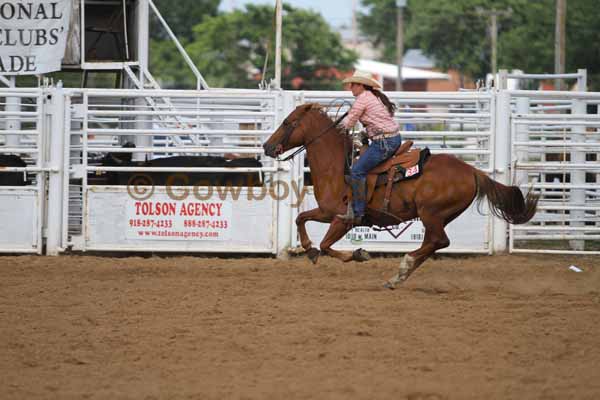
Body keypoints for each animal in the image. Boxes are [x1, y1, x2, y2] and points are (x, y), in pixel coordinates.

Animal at [262, 104, 540, 288]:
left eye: (287, 122)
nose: (266, 146)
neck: (339, 168)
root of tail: (472, 171)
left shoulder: (342, 218)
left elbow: (326, 245)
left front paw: (359, 254)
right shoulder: (326, 212)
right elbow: (301, 219)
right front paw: (308, 250)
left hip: (432, 213)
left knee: (438, 241)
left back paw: (403, 267)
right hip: (438, 216)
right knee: (434, 243)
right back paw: (399, 276)